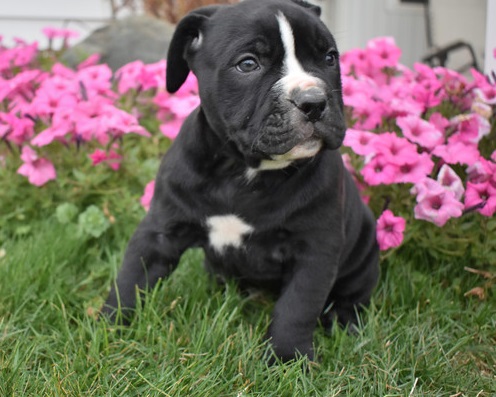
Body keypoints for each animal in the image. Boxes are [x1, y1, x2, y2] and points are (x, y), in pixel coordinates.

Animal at [102, 0, 378, 360]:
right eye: (248, 64)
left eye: (329, 58)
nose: (314, 101)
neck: (243, 170)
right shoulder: (160, 230)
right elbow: (132, 276)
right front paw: (107, 326)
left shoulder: (315, 250)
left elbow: (298, 306)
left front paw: (287, 357)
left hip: (364, 251)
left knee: (353, 294)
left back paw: (345, 322)